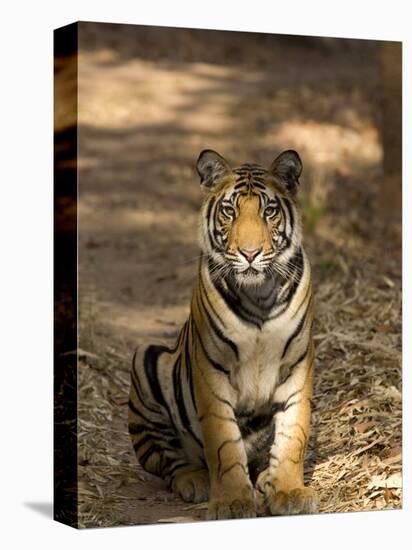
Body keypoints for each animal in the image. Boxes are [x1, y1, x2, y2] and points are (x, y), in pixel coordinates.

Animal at [129, 150, 318, 520]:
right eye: (230, 210)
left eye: (268, 211)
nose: (250, 253)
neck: (259, 295)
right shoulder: (212, 371)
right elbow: (224, 443)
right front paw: (232, 501)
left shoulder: (297, 366)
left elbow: (293, 435)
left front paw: (289, 491)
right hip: (146, 360)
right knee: (167, 460)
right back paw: (196, 480)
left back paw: (266, 479)